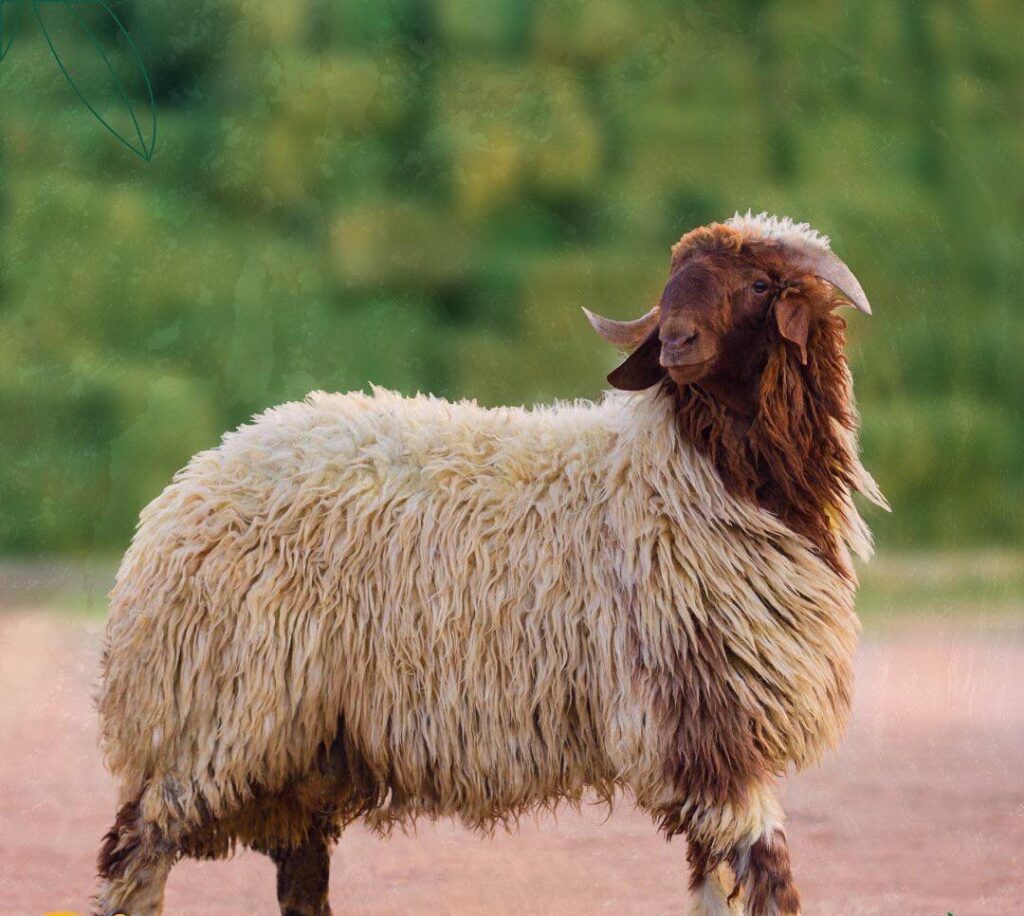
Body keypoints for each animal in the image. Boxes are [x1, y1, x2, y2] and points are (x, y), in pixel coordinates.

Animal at [95, 212, 885, 916]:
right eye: (672, 284)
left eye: (759, 283)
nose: (675, 342)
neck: (687, 471)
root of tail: (181, 496)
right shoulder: (698, 720)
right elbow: (771, 876)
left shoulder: (708, 734)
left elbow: (716, 886)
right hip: (219, 718)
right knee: (135, 850)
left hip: (302, 752)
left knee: (299, 879)